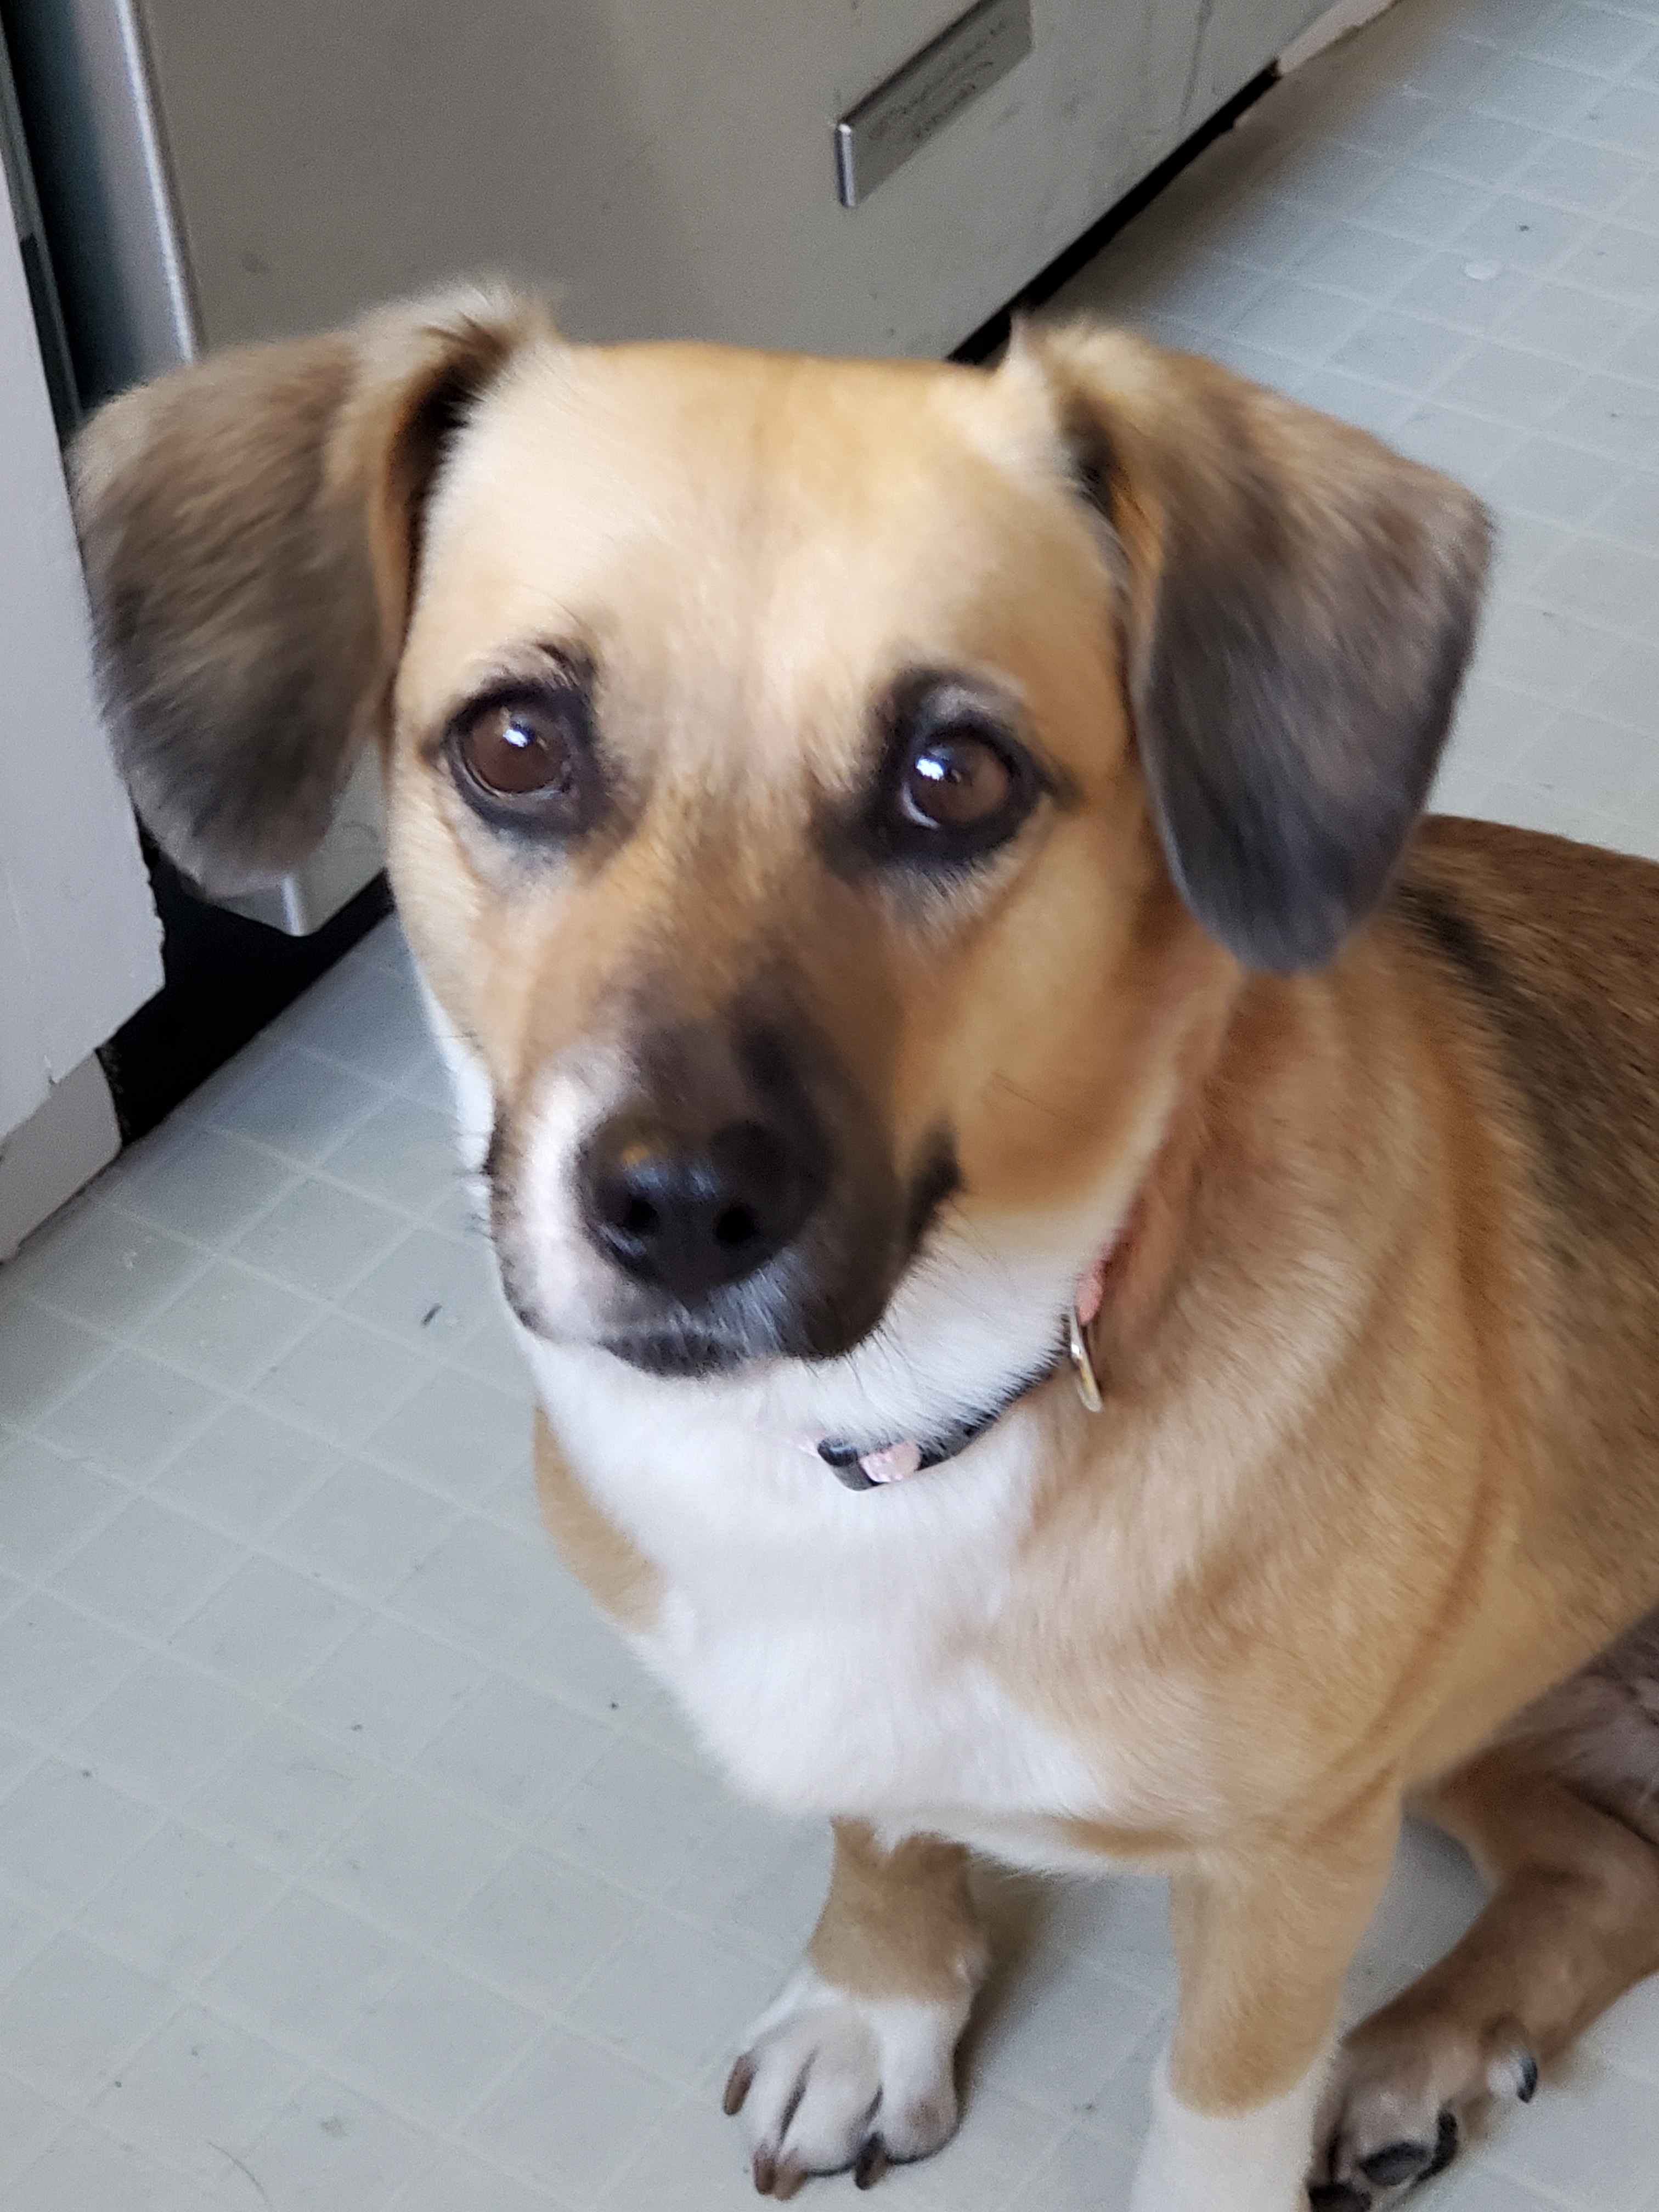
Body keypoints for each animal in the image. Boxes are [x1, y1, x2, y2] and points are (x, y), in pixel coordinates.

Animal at [71, 284, 1659, 2211]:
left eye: (953, 778)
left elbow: (1215, 2117)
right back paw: (1434, 2049)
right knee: (1611, 1866)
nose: (680, 1205)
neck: (889, 1423)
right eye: (515, 745)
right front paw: (877, 2005)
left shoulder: (1293, 1857)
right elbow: (878, 1829)